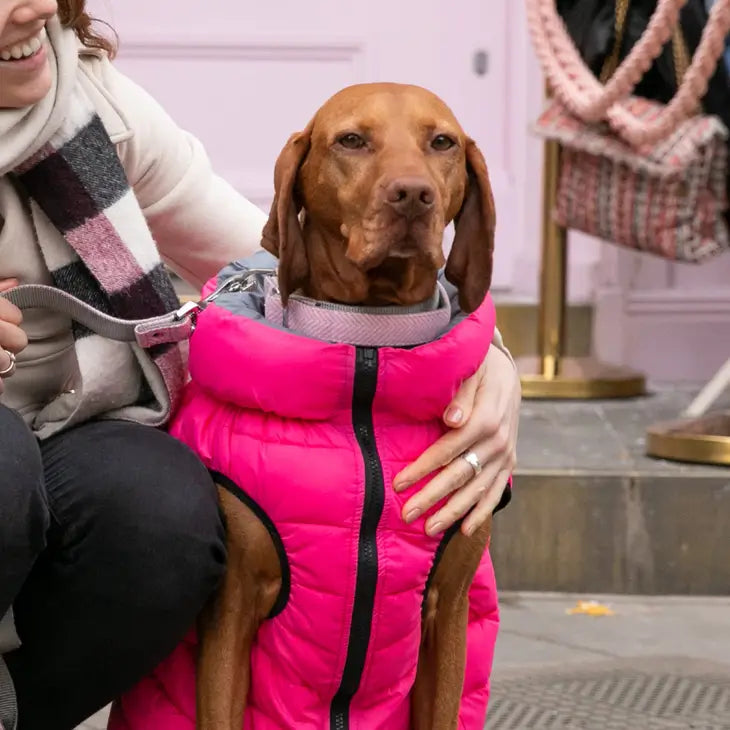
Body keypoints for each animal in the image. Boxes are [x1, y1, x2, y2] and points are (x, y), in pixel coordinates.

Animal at [196, 82, 498, 724]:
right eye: (352, 140)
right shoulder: (232, 610)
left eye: (443, 142)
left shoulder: (449, 610)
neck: (369, 344)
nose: (413, 196)